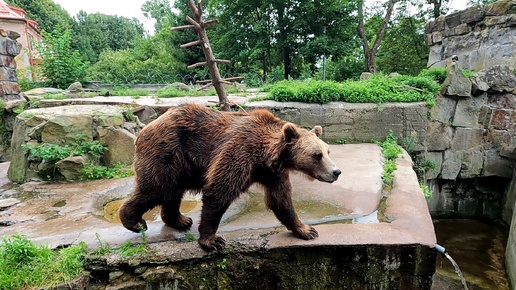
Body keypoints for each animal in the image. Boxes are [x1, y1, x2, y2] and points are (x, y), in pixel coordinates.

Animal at [119, 104, 340, 251]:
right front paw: (212, 240)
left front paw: (307, 230)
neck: (266, 157)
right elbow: (219, 191)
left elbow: (281, 200)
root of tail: (145, 128)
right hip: (167, 151)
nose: (336, 172)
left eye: (328, 151)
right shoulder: (240, 152)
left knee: (172, 191)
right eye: (317, 155)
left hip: (182, 165)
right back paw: (134, 221)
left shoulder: (273, 174)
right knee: (155, 188)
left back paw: (180, 220)